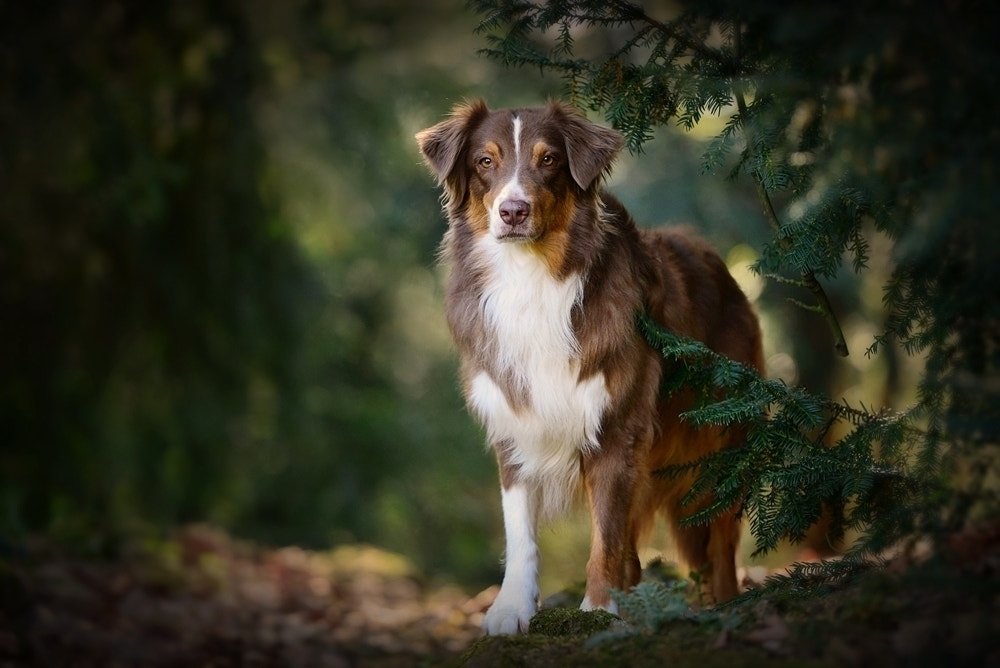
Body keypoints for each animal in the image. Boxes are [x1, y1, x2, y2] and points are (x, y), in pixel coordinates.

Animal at [414, 100, 764, 636]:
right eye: (485, 162)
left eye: (549, 160)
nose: (512, 212)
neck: (532, 277)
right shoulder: (514, 425)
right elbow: (520, 534)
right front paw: (511, 609)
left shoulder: (617, 429)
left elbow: (605, 541)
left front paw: (598, 611)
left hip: (719, 449)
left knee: (719, 546)